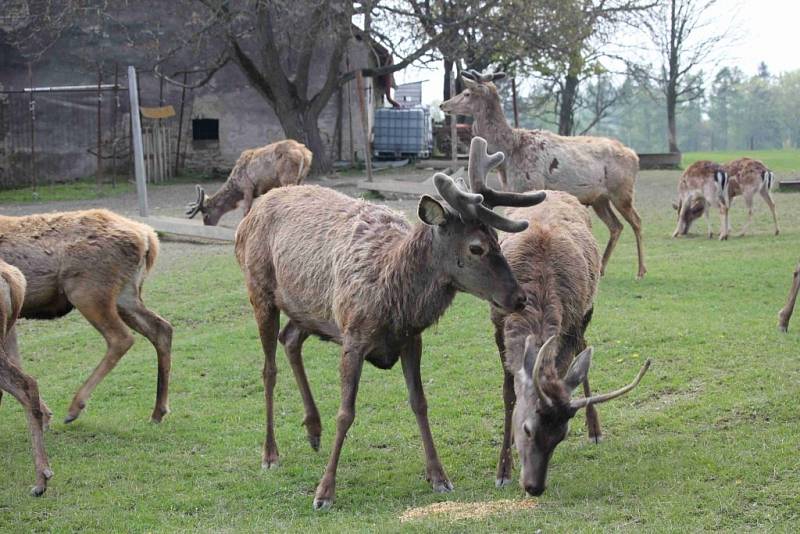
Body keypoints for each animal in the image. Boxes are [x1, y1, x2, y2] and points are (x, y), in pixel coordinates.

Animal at [0, 211, 173, 426]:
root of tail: (148, 237)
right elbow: (16, 360)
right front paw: (46, 415)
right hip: (125, 295)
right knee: (161, 328)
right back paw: (158, 411)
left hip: (86, 291)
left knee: (121, 338)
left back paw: (75, 407)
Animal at [234, 137, 548, 510]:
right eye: (476, 247)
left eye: (498, 240)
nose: (519, 297)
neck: (393, 296)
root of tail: (245, 221)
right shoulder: (353, 334)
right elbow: (346, 412)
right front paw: (324, 492)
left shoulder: (411, 338)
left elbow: (420, 402)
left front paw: (439, 477)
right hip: (259, 291)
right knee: (268, 369)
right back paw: (270, 454)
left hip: (309, 311)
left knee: (291, 339)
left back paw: (313, 430)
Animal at [440, 70, 648, 280]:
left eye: (467, 93)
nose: (443, 104)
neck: (509, 153)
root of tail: (635, 156)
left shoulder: (531, 184)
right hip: (600, 199)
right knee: (616, 226)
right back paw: (602, 269)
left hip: (622, 191)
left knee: (637, 222)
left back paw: (640, 271)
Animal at [488, 189, 648, 498]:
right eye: (527, 429)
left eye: (561, 435)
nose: (535, 487)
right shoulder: (498, 324)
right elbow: (508, 393)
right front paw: (503, 470)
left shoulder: (571, 322)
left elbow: (565, 371)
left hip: (586, 311)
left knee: (583, 349)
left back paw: (595, 429)